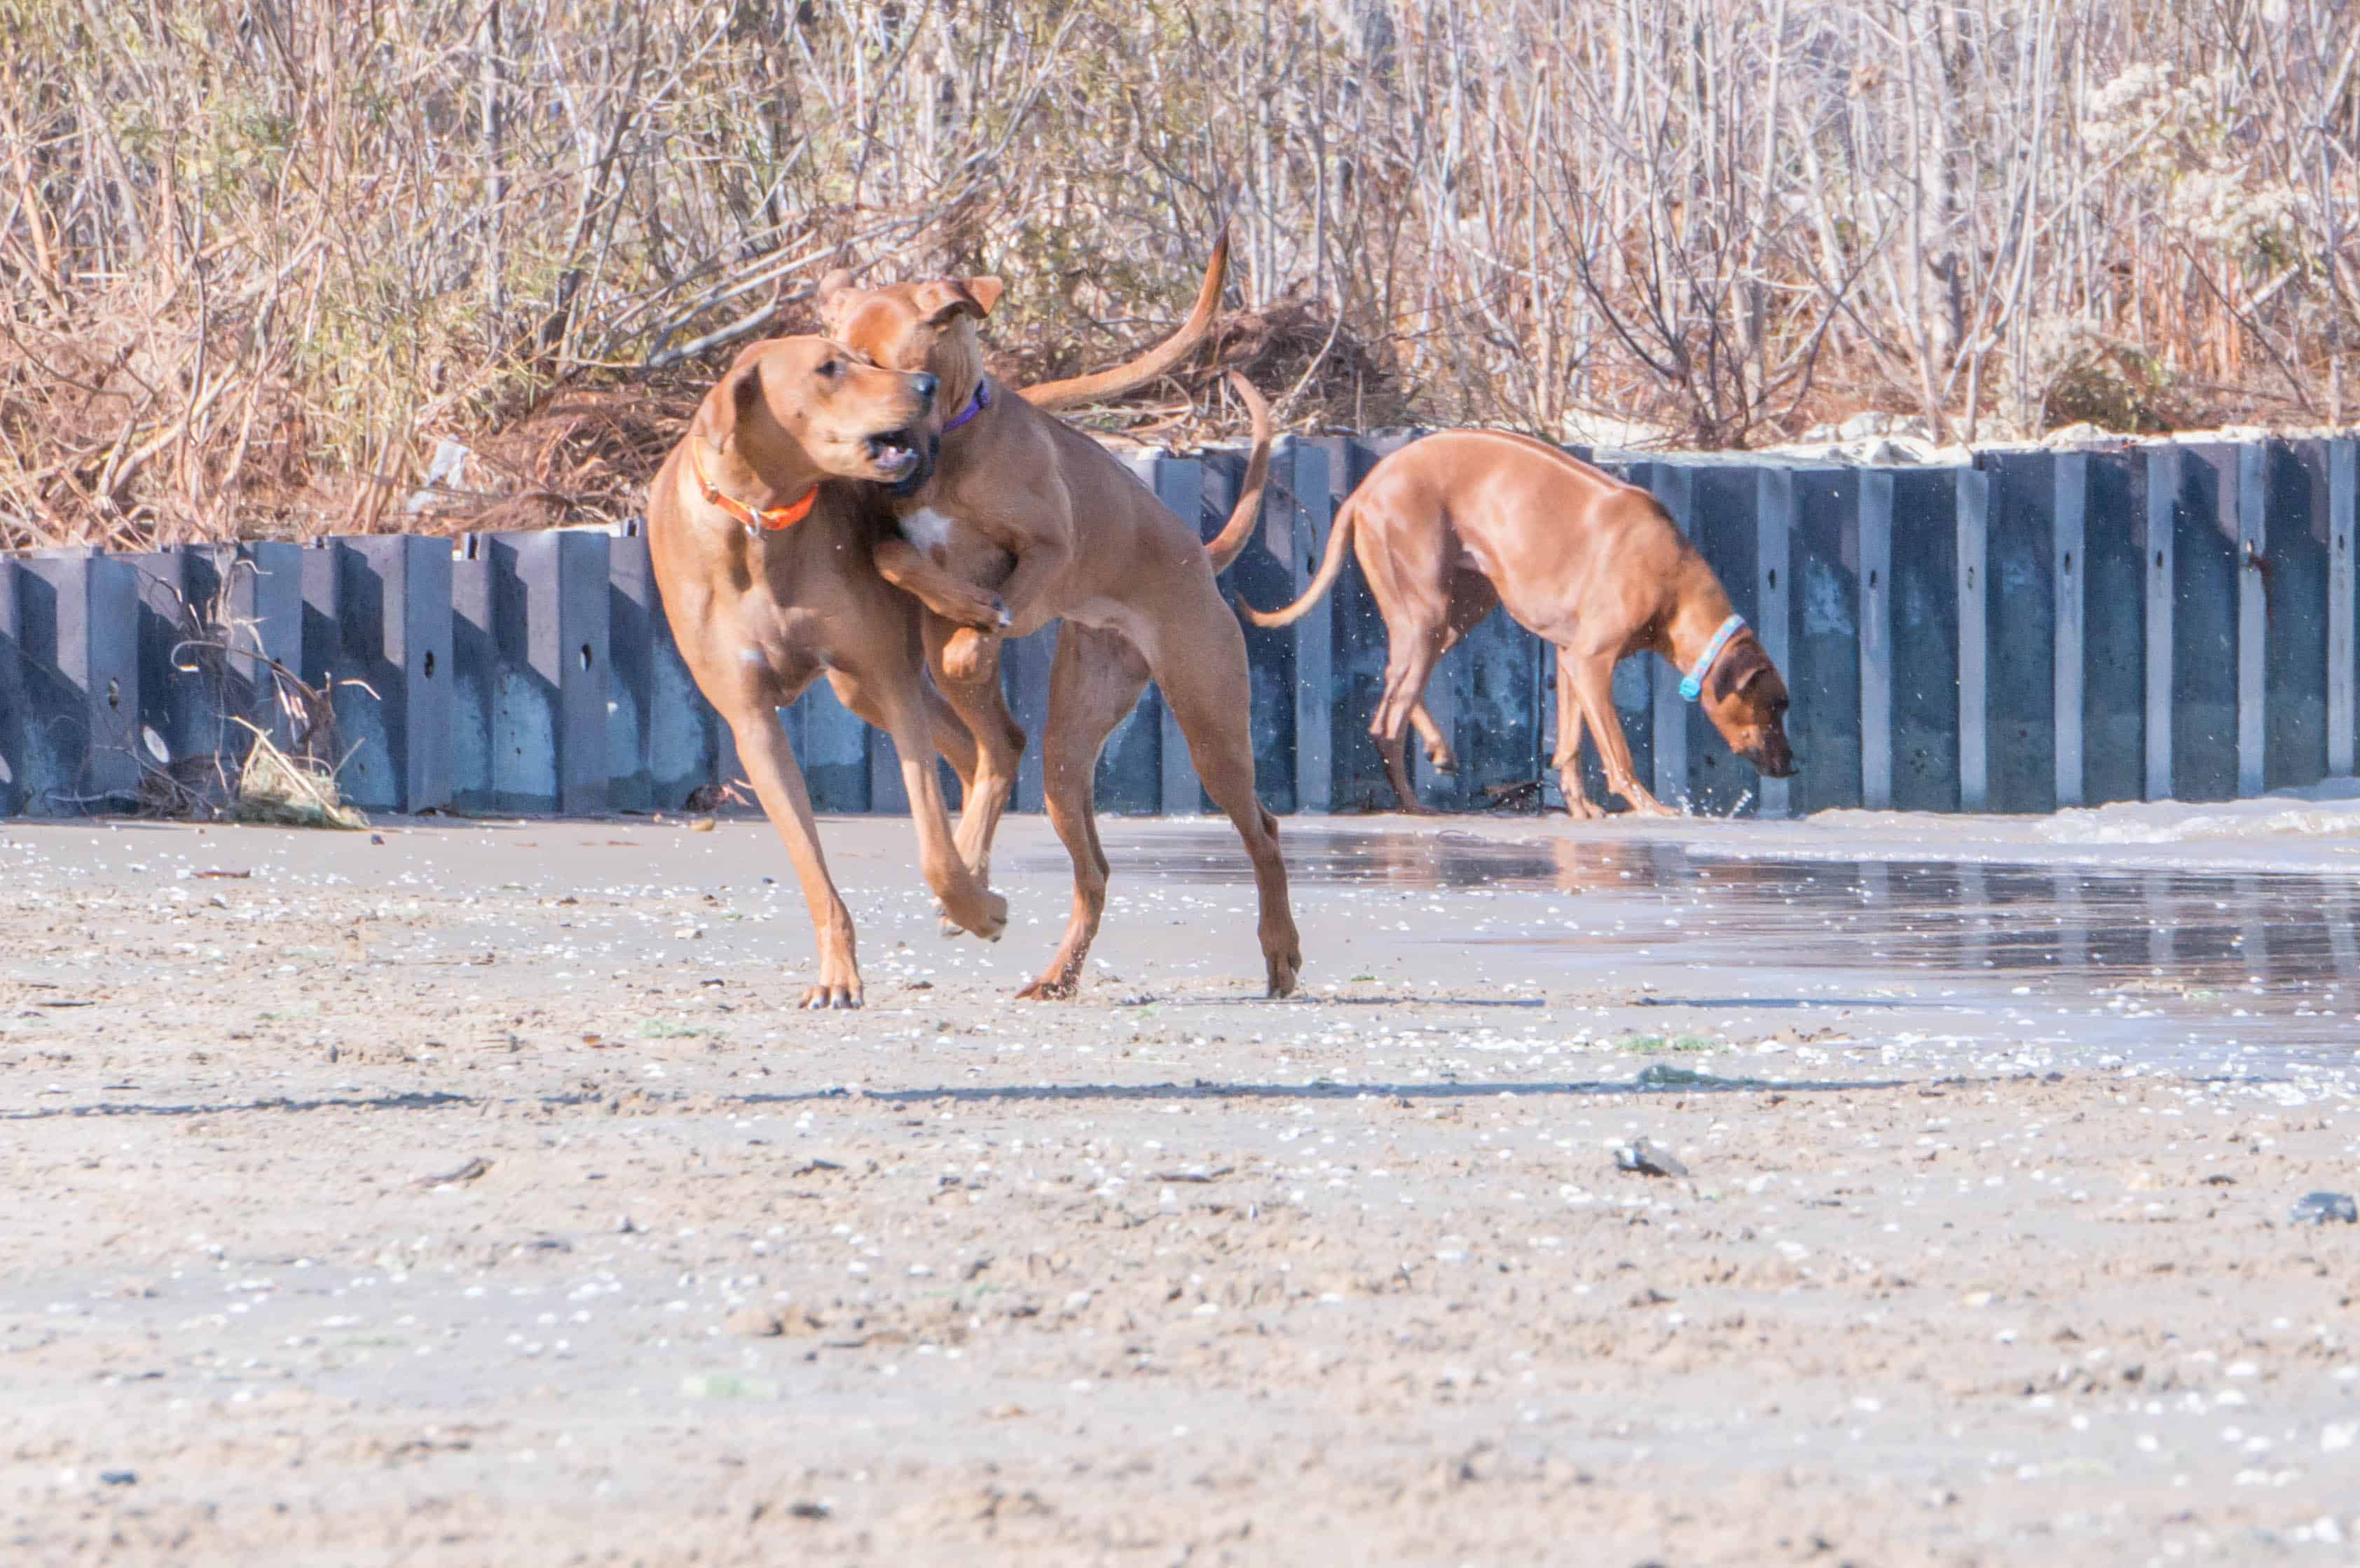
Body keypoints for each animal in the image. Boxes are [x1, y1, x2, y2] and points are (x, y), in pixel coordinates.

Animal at [651, 337, 1010, 1010]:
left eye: (861, 359)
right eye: (828, 369)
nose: (924, 384)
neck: (761, 524)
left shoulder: (891, 680)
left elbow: (933, 848)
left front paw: (978, 909)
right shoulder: (753, 723)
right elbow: (811, 866)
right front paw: (838, 975)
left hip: (901, 666)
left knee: (996, 740)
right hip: (856, 691)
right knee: (974, 754)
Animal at [816, 252, 1303, 996]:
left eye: (877, 364)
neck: (950, 446)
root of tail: (1201, 556)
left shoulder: (1051, 553)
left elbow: (983, 627)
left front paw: (982, 620)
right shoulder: (908, 561)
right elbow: (900, 562)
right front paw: (971, 609)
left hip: (1211, 726)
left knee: (1265, 831)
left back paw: (1280, 951)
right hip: (1070, 750)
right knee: (1077, 848)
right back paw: (1045, 961)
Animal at [1246, 432, 1793, 821]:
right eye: (1773, 708)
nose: (1792, 765)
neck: (1673, 576)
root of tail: (1365, 487)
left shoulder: (1571, 659)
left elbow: (1570, 745)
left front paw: (1580, 806)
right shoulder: (1593, 661)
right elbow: (1618, 753)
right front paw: (1650, 807)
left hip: (1458, 611)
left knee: (1395, 678)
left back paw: (1438, 748)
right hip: (1426, 608)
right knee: (1386, 720)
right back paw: (1411, 804)